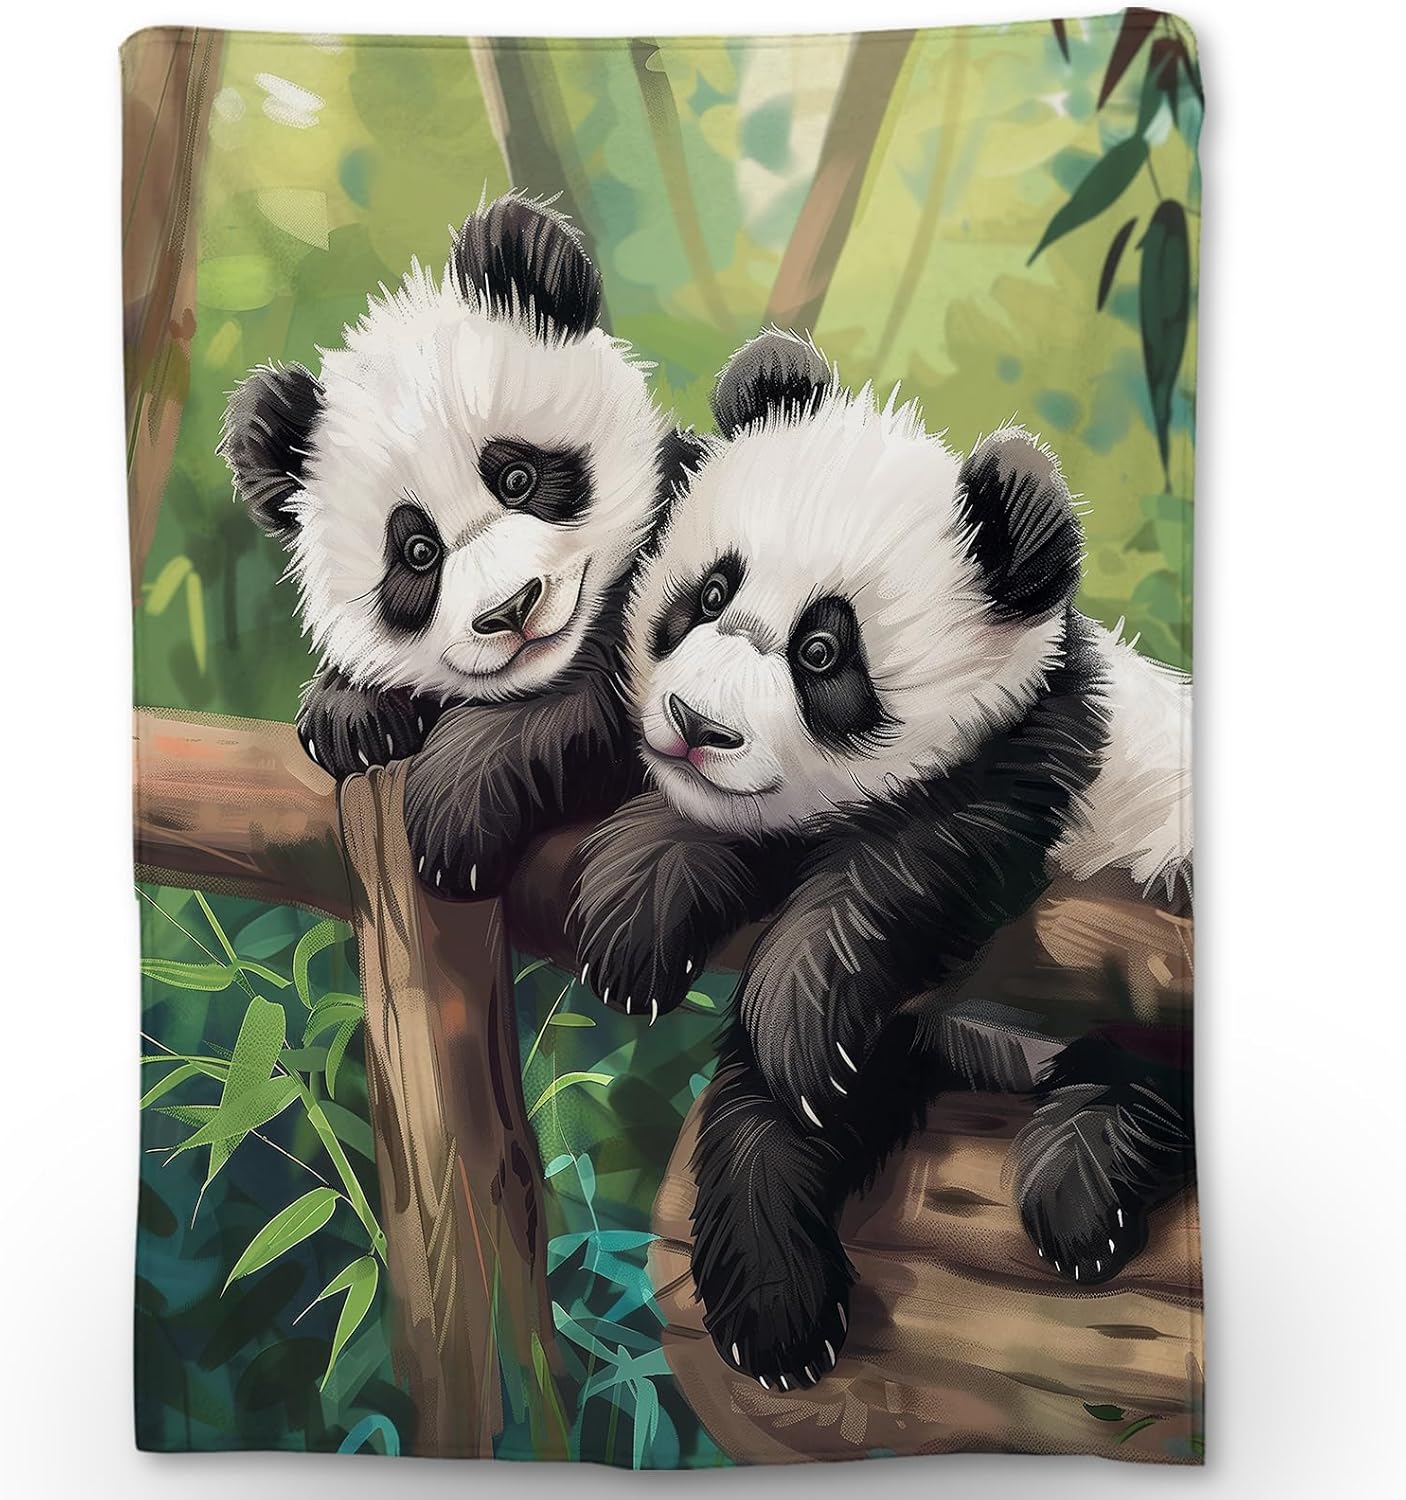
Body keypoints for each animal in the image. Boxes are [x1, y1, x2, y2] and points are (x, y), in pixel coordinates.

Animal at [567, 329, 1193, 1390]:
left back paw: (1085, 1177)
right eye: (711, 594)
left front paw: (798, 1015)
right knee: (770, 1114)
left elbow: (912, 859)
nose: (697, 725)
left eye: (823, 653)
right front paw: (635, 916)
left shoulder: (1040, 750)